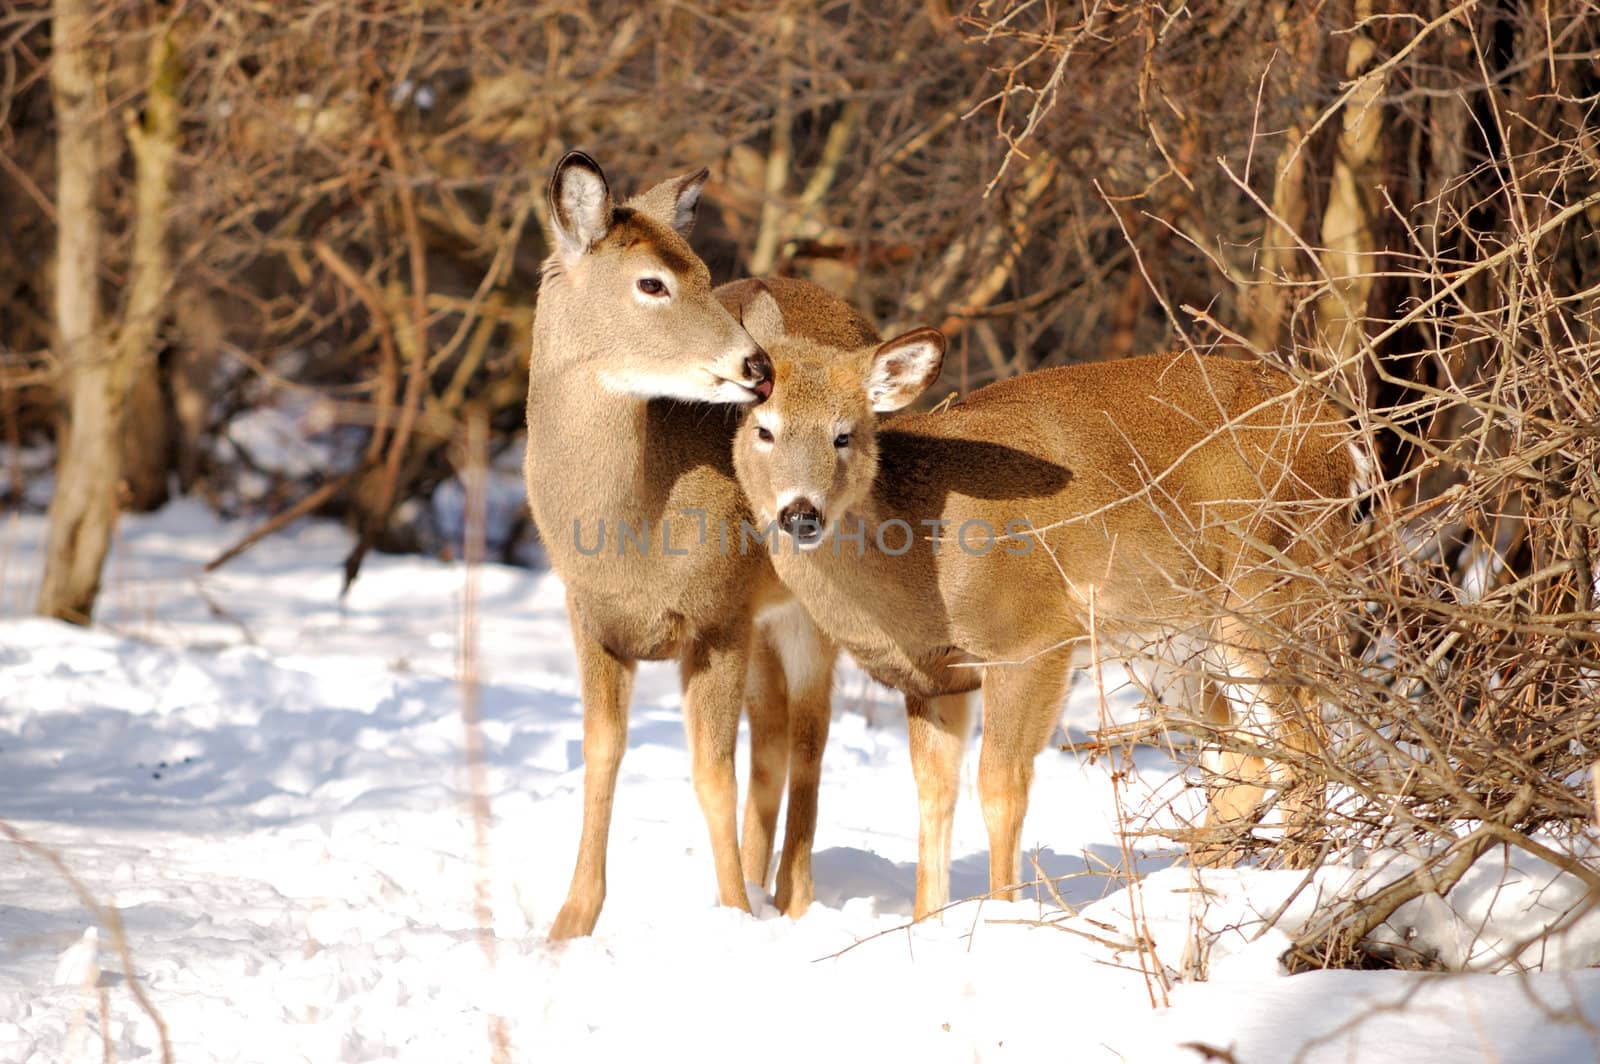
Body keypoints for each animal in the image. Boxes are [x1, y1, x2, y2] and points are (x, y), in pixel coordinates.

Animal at [524, 151, 876, 940]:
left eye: (710, 272)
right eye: (652, 282)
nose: (759, 367)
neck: (631, 540)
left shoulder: (715, 615)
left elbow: (712, 771)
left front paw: (736, 917)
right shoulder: (592, 618)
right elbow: (601, 753)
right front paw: (570, 924)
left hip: (809, 605)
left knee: (809, 735)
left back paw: (792, 898)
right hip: (763, 618)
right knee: (774, 739)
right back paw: (760, 875)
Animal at [732, 286, 1356, 915]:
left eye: (844, 434)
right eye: (764, 430)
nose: (801, 513)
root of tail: (1339, 438)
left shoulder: (1029, 638)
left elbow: (999, 787)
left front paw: (1002, 915)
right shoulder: (934, 679)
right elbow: (933, 796)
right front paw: (927, 921)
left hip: (1267, 587)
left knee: (1305, 747)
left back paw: (1293, 890)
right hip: (1176, 639)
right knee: (1244, 760)